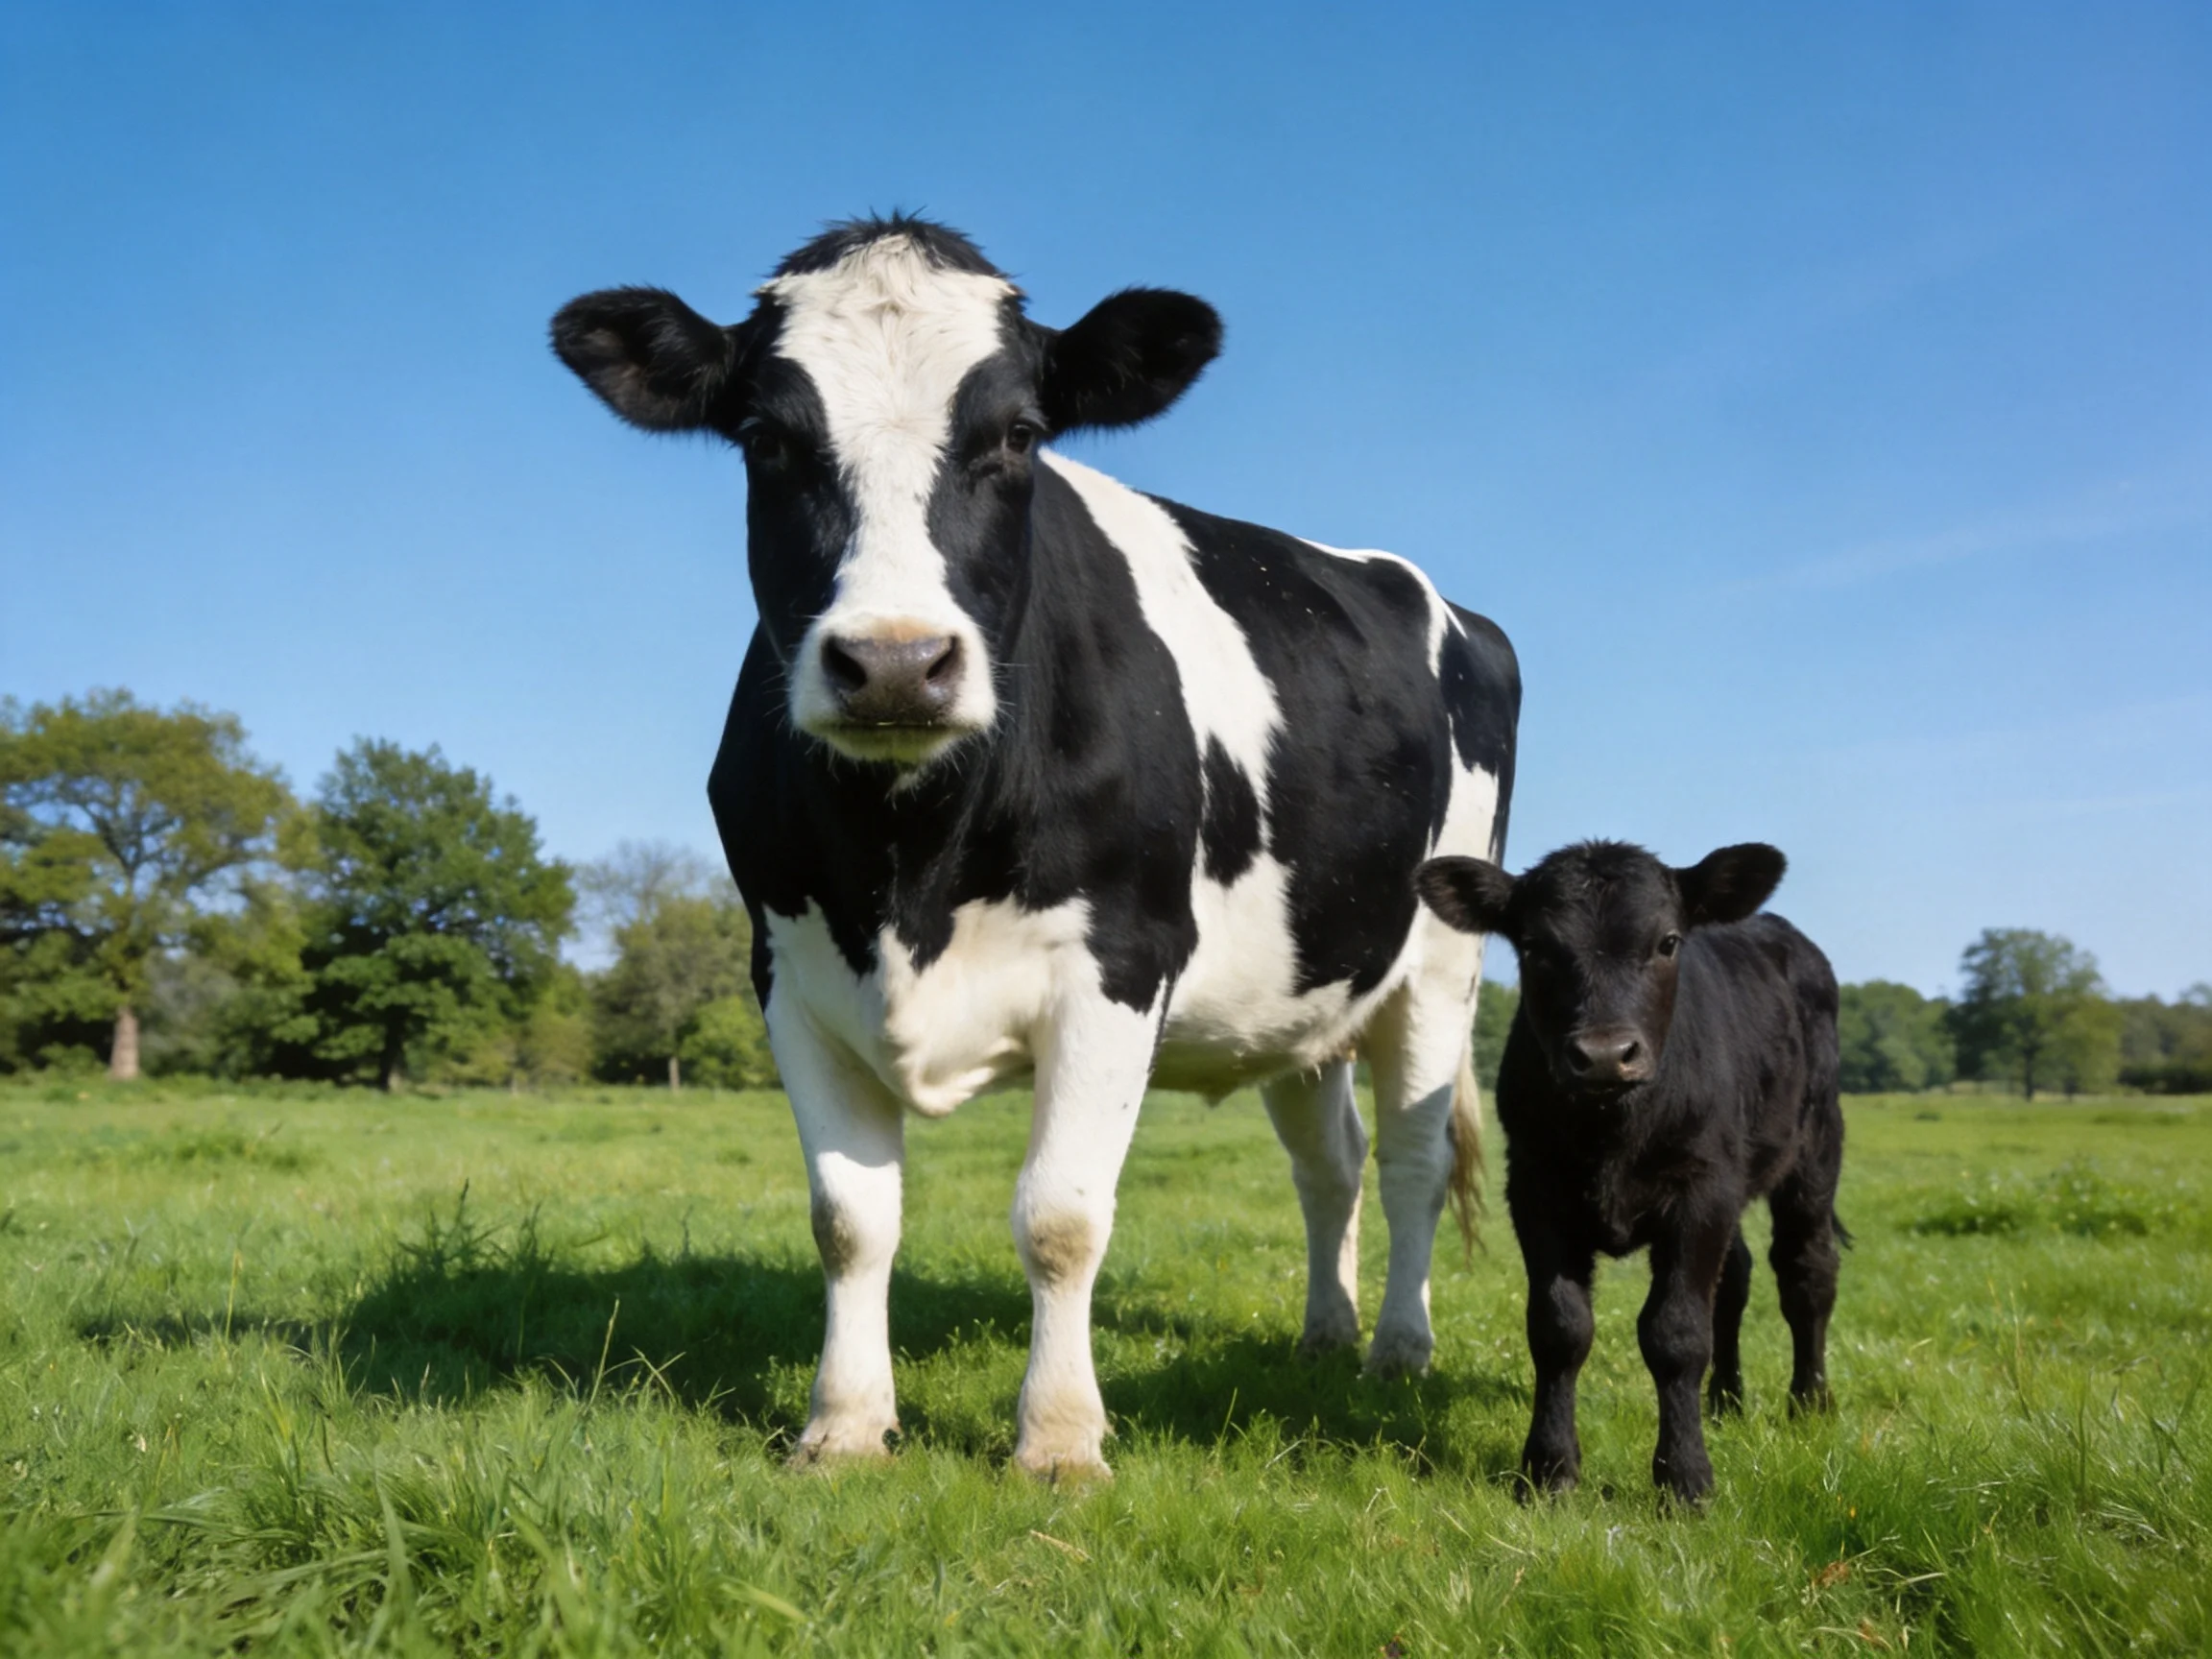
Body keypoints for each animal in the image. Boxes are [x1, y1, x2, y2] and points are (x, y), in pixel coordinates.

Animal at [552, 215, 1519, 1481]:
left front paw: (1060, 1441)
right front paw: (844, 1425)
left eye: (1018, 435)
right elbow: (849, 1220)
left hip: (1441, 963)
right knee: (1331, 1164)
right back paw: (1324, 1336)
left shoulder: (1121, 961)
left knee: (1411, 1159)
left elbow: (1060, 1216)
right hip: (1308, 987)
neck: (907, 860)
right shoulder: (790, 973)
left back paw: (1399, 1351)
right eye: (766, 438)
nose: (897, 662)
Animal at [1415, 840, 1843, 1505]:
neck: (1610, 1132)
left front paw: (1685, 1478)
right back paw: (1726, 1400)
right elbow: (1559, 1328)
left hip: (1815, 1149)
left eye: (1667, 942)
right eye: (1534, 946)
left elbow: (1676, 1333)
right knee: (1737, 1277)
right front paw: (1549, 1470)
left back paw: (1809, 1401)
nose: (1604, 1055)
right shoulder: (1535, 1188)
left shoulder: (1701, 1190)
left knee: (1807, 1272)